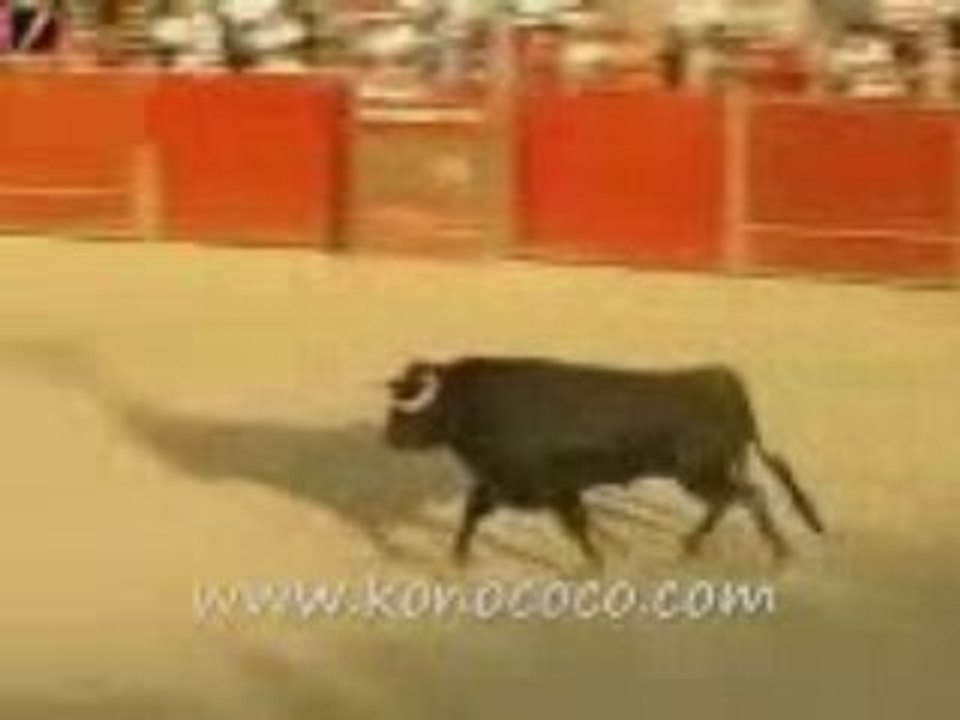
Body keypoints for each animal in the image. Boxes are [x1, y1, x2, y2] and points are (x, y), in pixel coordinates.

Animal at [384, 357, 824, 567]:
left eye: (410, 407)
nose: (387, 436)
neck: (474, 404)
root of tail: (722, 379)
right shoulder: (504, 484)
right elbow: (472, 513)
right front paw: (457, 558)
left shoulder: (549, 487)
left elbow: (575, 525)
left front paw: (595, 563)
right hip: (705, 472)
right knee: (732, 500)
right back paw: (692, 545)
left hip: (700, 472)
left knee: (745, 496)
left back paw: (777, 553)